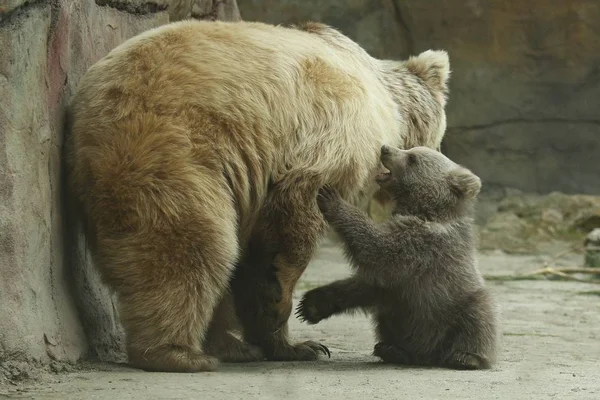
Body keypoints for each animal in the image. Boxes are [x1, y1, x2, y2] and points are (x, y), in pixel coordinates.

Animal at [65, 20, 450, 374]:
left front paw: (295, 344)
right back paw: (180, 354)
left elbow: (253, 259)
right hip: (171, 146)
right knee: (192, 247)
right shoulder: (331, 129)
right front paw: (281, 301)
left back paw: (230, 346)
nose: (439, 156)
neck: (386, 101)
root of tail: (86, 106)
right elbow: (297, 208)